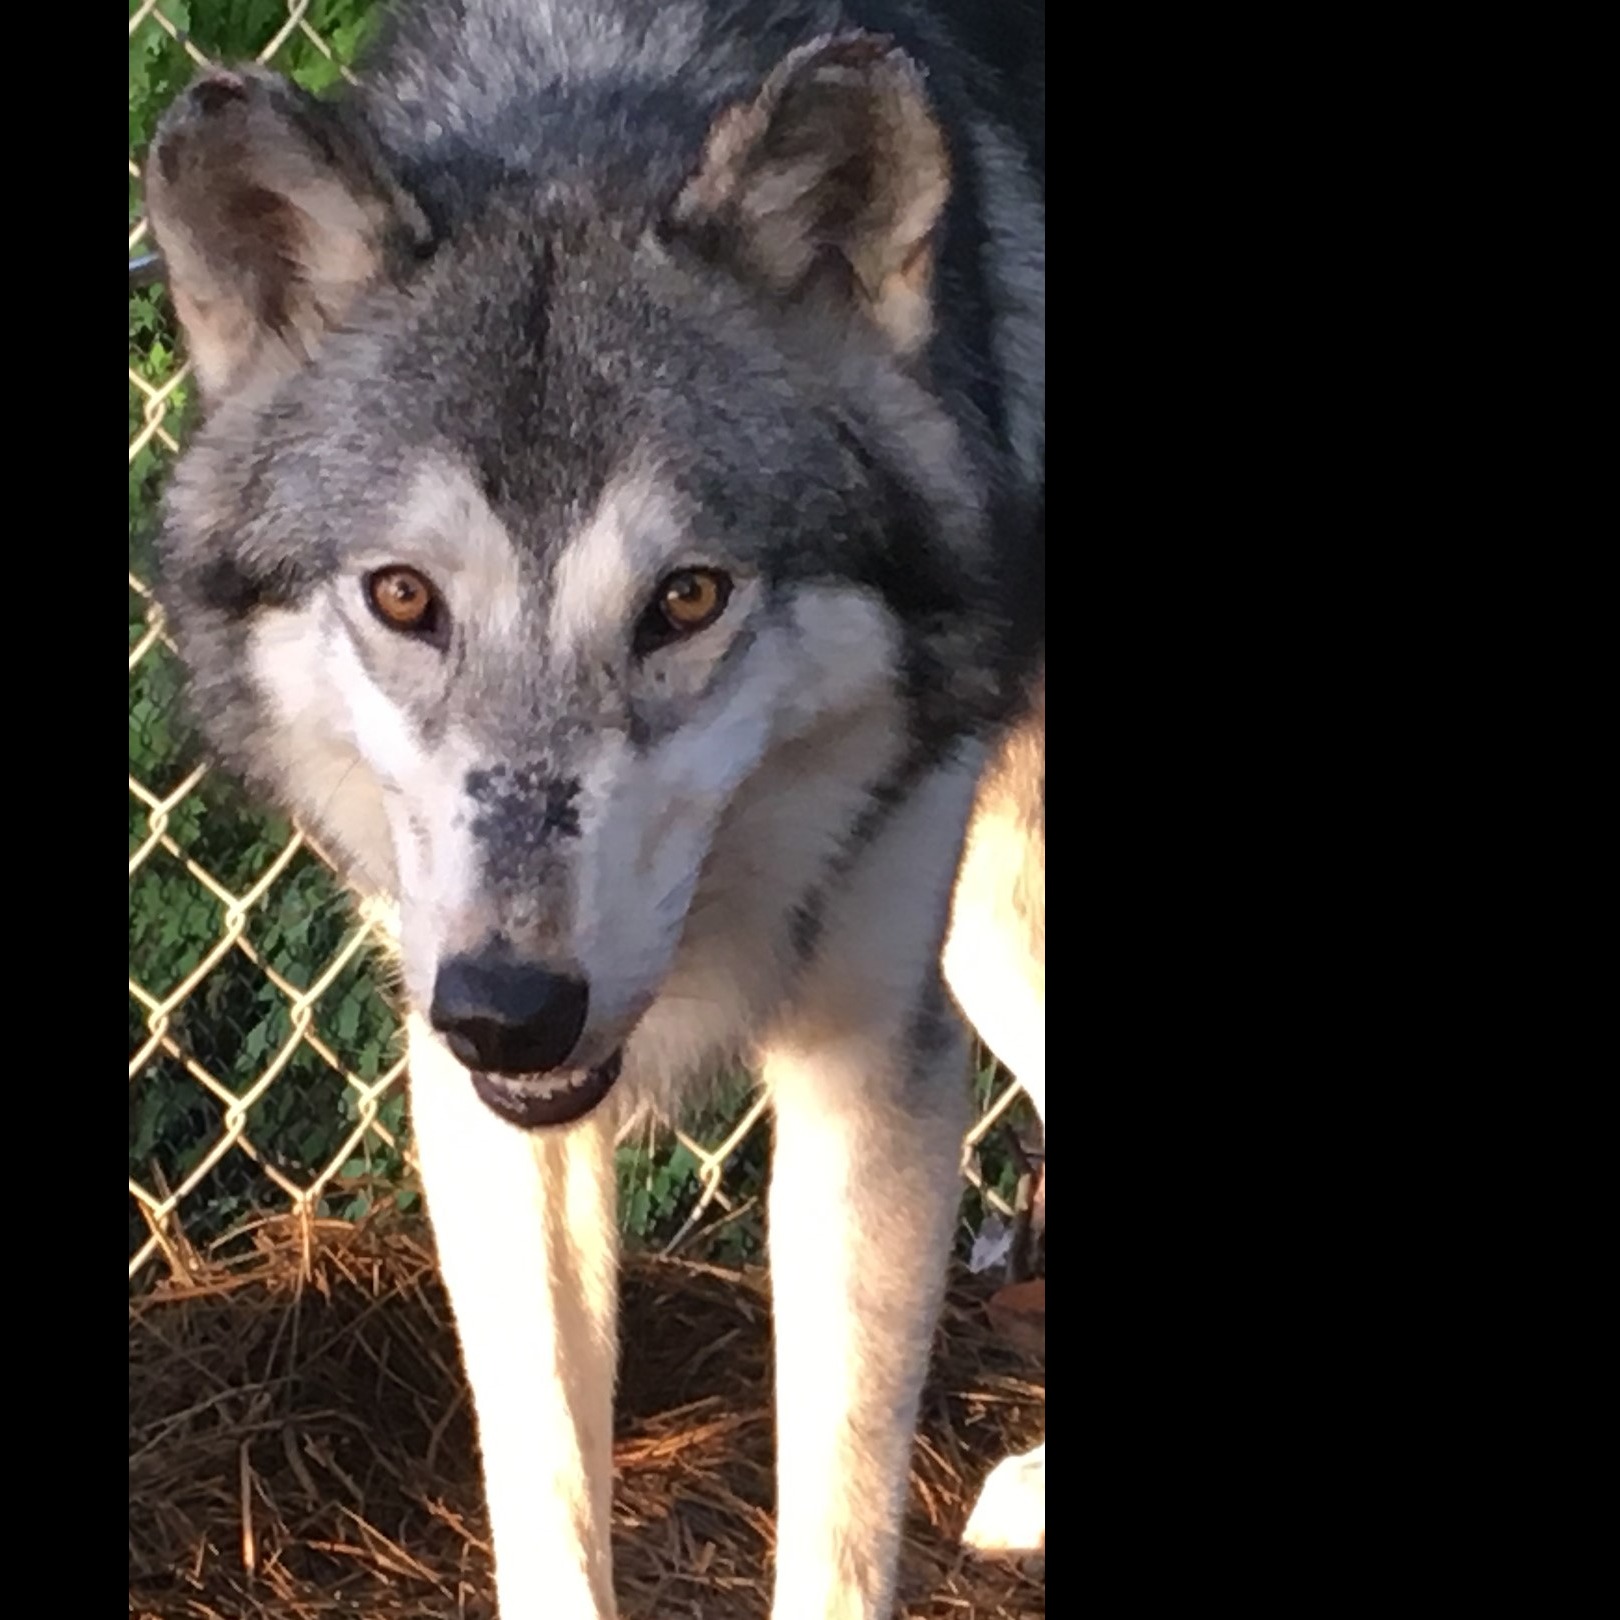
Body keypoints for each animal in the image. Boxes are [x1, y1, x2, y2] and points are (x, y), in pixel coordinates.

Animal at [143, 1, 1044, 1614]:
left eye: (685, 598)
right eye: (403, 597)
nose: (511, 1010)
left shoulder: (869, 1055)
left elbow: (837, 1530)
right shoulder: (471, 1078)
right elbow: (551, 1505)